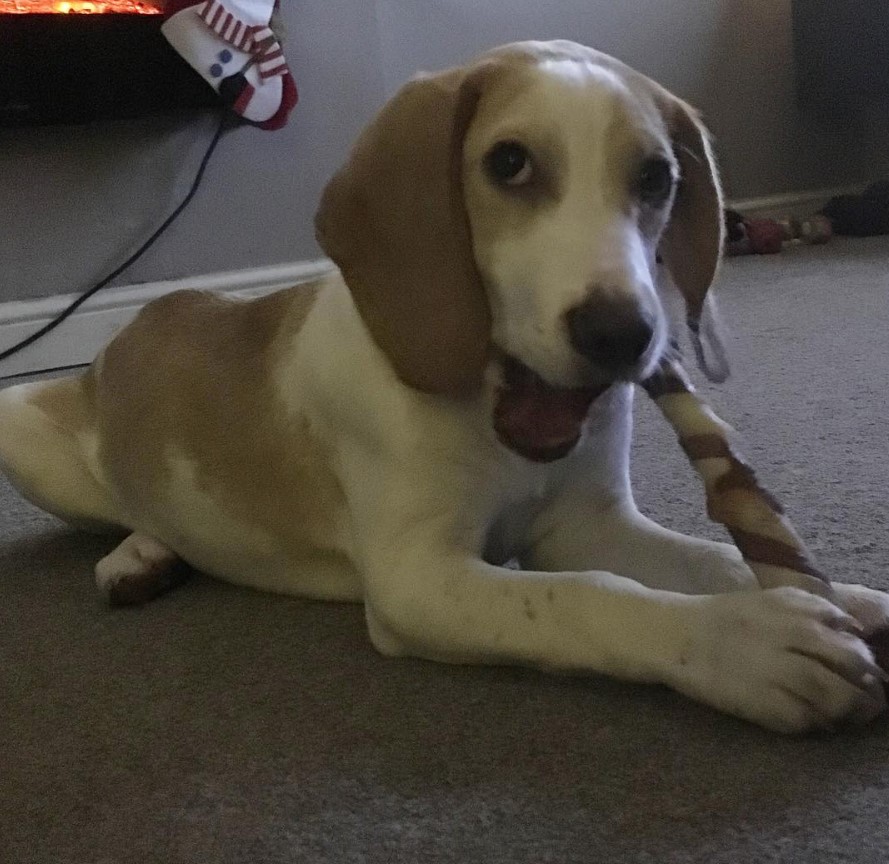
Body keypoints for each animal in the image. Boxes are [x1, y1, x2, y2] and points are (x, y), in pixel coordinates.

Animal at [1, 38, 888, 728]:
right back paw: (138, 548)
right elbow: (591, 598)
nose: (622, 336)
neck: (486, 412)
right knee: (119, 500)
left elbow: (715, 560)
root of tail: (149, 312)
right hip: (19, 425)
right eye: (509, 163)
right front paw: (746, 643)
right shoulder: (416, 579)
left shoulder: (588, 523)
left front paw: (851, 601)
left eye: (656, 178)